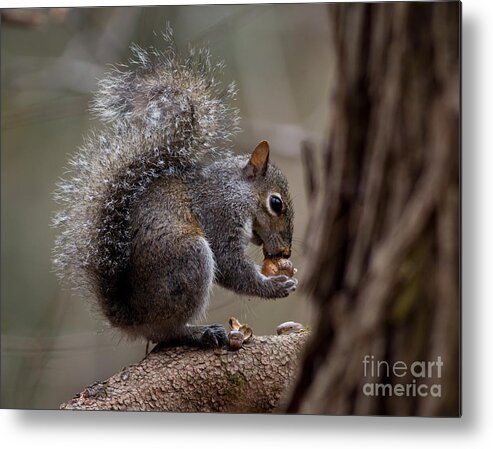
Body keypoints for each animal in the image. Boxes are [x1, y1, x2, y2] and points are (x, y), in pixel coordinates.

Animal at [52, 31, 296, 348]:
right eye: (276, 203)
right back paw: (199, 332)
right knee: (168, 331)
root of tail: (132, 318)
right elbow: (230, 264)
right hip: (188, 258)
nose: (286, 251)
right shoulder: (218, 214)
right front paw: (274, 286)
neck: (235, 191)